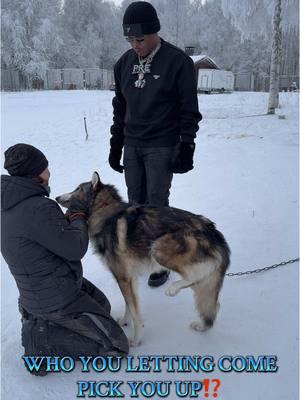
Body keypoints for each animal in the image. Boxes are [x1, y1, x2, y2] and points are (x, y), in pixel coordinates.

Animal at [56, 173, 230, 346]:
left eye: (77, 188)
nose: (56, 197)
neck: (104, 211)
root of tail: (212, 230)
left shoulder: (123, 278)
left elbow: (135, 314)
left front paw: (136, 339)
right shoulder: (128, 279)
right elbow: (128, 305)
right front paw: (124, 322)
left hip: (158, 248)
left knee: (199, 274)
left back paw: (173, 289)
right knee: (213, 302)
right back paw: (201, 324)